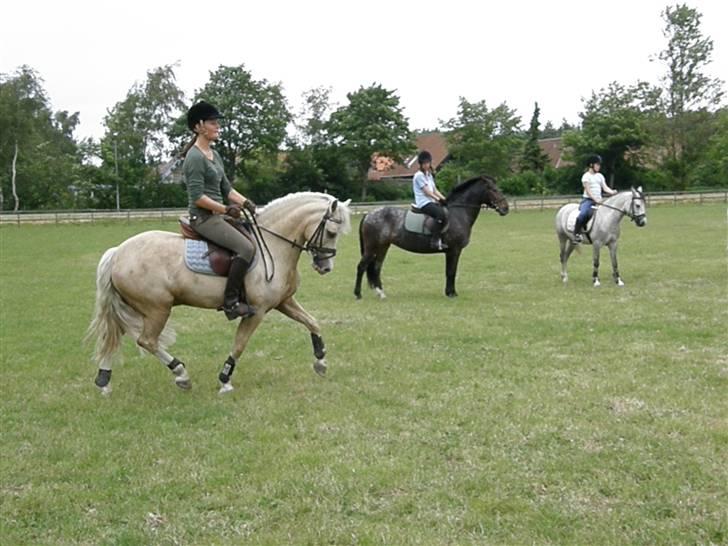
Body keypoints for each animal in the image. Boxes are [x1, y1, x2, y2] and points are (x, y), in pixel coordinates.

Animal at [85, 191, 352, 392]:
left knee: (113, 336)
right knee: (146, 341)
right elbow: (240, 344)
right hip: (157, 308)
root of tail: (118, 252)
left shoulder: (283, 301)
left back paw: (103, 380)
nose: (325, 267)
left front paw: (321, 361)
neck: (274, 245)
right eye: (331, 232)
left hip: (133, 306)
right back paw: (181, 374)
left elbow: (312, 322)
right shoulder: (257, 311)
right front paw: (225, 380)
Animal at [356, 175, 510, 298]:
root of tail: (369, 214)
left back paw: (381, 293)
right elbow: (451, 272)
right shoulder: (454, 250)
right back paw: (358, 294)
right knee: (362, 266)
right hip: (372, 247)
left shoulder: (451, 251)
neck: (458, 213)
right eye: (493, 190)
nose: (506, 208)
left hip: (383, 246)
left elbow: (449, 272)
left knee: (376, 267)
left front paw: (449, 292)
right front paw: (451, 294)